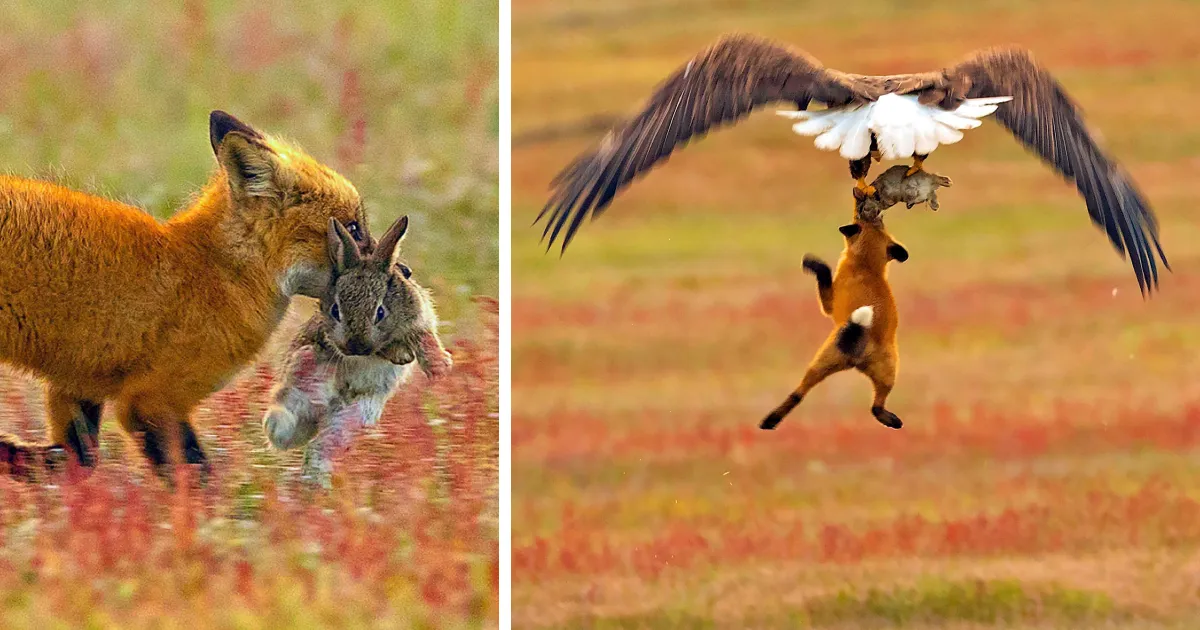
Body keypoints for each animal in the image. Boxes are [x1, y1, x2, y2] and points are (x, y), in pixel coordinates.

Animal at [0, 111, 372, 480]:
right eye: (354, 229)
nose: (390, 267)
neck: (216, 270)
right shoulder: (150, 400)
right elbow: (196, 475)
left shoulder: (78, 384)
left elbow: (76, 459)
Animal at [262, 214, 452, 484]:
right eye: (335, 310)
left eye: (380, 312)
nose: (356, 346)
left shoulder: (418, 317)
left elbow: (425, 339)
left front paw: (439, 368)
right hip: (299, 383)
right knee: (284, 420)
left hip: (356, 414)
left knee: (323, 445)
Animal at [760, 187, 909, 431]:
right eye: (880, 221)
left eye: (858, 216)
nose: (874, 208)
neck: (866, 267)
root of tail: (859, 353)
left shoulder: (829, 303)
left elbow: (824, 272)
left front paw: (812, 263)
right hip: (888, 373)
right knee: (875, 407)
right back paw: (892, 420)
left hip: (821, 361)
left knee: (798, 393)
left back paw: (769, 420)